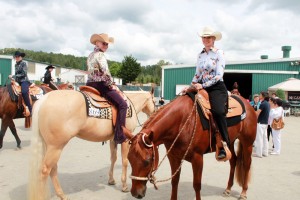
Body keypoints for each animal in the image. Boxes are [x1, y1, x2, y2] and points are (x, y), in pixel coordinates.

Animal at [27, 88, 157, 200]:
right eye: (155, 101)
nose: (154, 114)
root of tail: (44, 100)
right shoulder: (125, 139)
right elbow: (124, 161)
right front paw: (124, 185)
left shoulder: (113, 139)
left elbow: (113, 158)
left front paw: (111, 180)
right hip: (56, 147)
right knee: (45, 170)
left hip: (49, 145)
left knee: (52, 169)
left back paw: (61, 195)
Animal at [125, 91, 256, 200]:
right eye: (129, 159)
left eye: (147, 161)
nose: (135, 193)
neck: (182, 121)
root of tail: (247, 104)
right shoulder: (173, 157)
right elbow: (175, 181)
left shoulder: (197, 158)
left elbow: (197, 185)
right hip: (230, 142)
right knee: (233, 160)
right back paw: (228, 189)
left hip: (247, 143)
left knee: (247, 164)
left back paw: (243, 192)